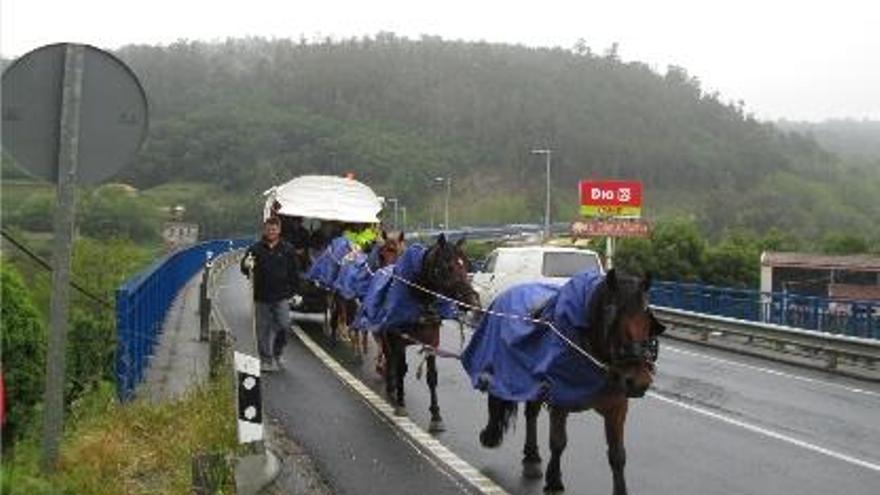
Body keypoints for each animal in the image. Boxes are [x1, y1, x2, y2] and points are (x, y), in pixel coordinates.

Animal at [464, 270, 664, 494]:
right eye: (613, 316)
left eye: (647, 319)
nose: (639, 381)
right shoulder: (559, 400)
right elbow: (558, 442)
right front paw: (554, 482)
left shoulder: (617, 407)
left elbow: (617, 454)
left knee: (531, 414)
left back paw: (531, 456)